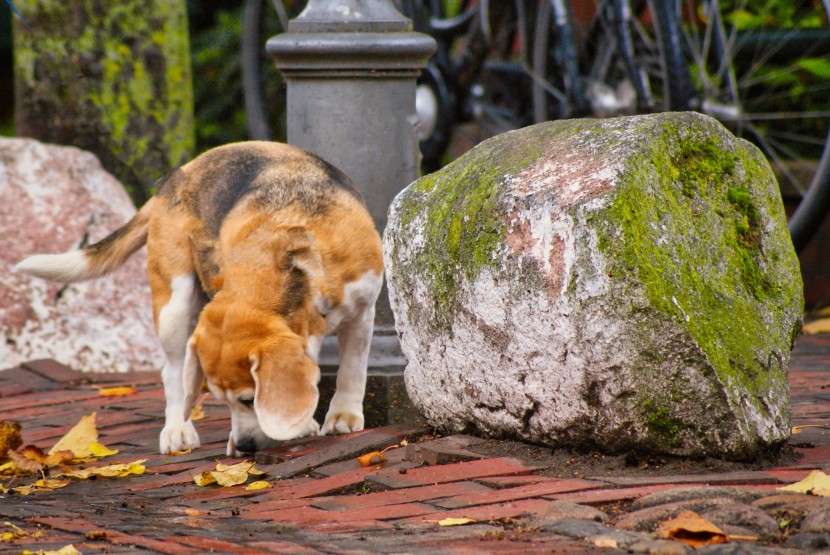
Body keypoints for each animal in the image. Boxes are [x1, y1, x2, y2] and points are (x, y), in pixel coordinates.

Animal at [13, 142, 384, 456]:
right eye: (226, 401)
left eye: (249, 399)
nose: (244, 446)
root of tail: (175, 177)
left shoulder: (364, 309)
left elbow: (352, 368)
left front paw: (343, 415)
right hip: (174, 306)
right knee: (172, 372)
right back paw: (177, 430)